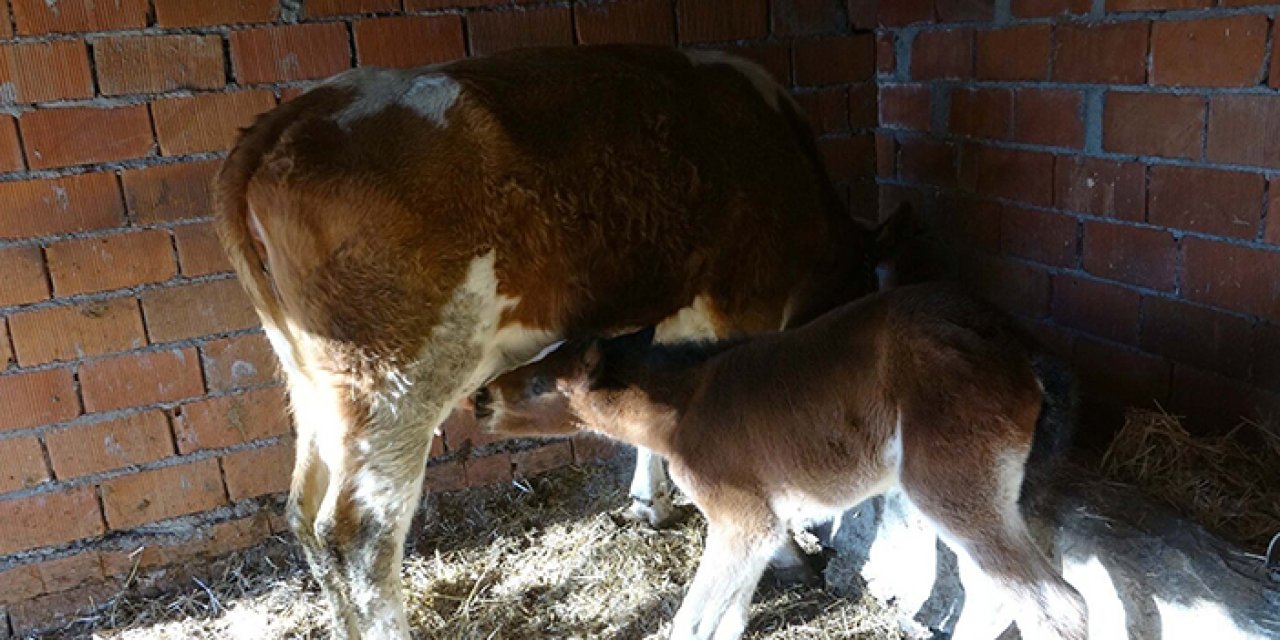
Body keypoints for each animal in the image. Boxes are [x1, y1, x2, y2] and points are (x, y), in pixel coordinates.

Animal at [212, 42, 890, 637]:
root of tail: (284, 118)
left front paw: (648, 501)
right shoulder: (745, 303)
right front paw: (782, 560)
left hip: (319, 383)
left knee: (304, 511)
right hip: (395, 379)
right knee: (359, 532)